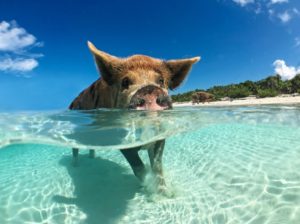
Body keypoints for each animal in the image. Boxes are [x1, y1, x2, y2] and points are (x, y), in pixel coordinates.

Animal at [68, 41, 199, 194]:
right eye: (125, 82)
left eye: (161, 81)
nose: (149, 89)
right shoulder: (120, 139)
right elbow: (138, 167)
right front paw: (149, 189)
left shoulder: (160, 136)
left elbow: (157, 166)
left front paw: (166, 194)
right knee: (75, 150)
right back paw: (75, 166)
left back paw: (92, 158)